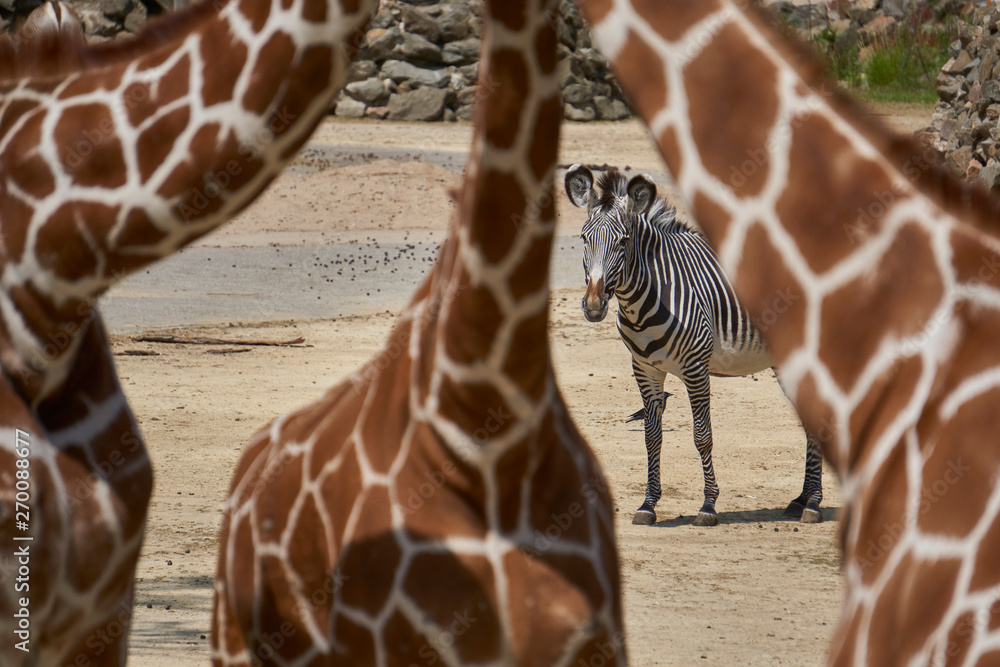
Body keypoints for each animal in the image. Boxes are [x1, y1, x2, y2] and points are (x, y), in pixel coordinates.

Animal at [565, 165, 823, 527]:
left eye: (623, 241)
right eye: (584, 238)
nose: (593, 306)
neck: (647, 298)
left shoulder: (695, 368)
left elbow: (703, 436)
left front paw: (708, 505)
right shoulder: (644, 370)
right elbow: (651, 437)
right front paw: (648, 504)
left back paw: (813, 503)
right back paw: (802, 499)